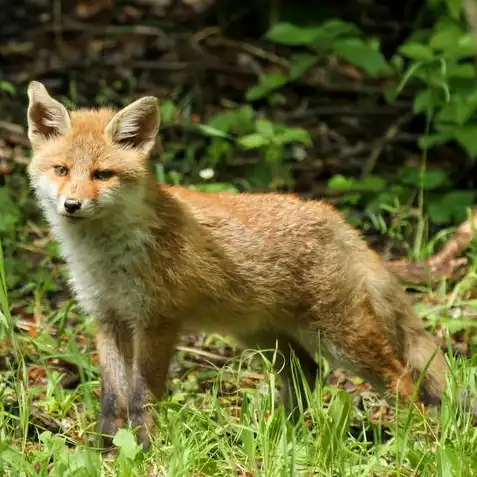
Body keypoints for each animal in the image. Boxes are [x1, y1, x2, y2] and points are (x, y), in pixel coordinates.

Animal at [26, 81, 450, 450]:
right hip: (260, 334)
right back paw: (284, 436)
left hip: (341, 336)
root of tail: (331, 214)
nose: (72, 205)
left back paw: (421, 441)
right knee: (308, 372)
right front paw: (107, 450)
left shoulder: (157, 320)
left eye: (102, 174)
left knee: (402, 380)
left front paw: (143, 449)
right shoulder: (108, 318)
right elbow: (113, 398)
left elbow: (141, 396)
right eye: (62, 170)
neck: (106, 258)